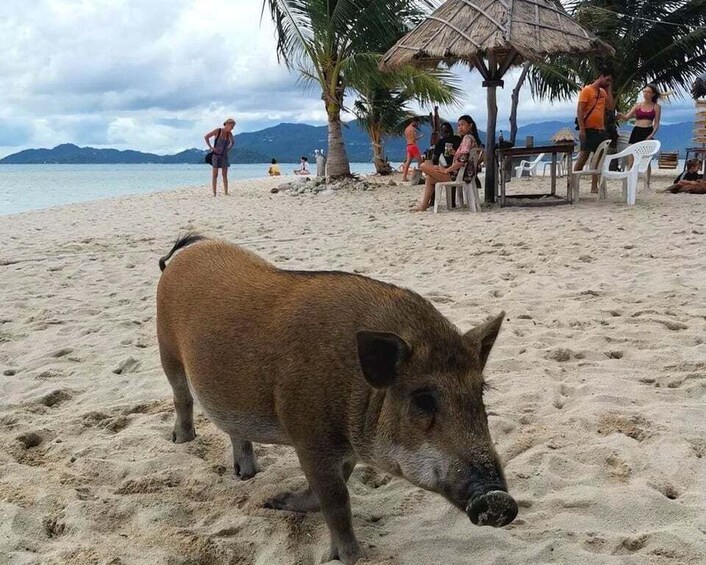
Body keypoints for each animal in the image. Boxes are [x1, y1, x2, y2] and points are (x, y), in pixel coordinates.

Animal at [155, 232, 516, 560]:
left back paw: (247, 474)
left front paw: (277, 502)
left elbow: (334, 488)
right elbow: (337, 499)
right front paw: (350, 557)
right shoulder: (309, 438)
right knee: (182, 397)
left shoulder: (344, 449)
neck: (357, 390)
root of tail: (183, 255)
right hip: (166, 349)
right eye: (423, 399)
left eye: (480, 392)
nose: (499, 499)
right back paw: (181, 441)